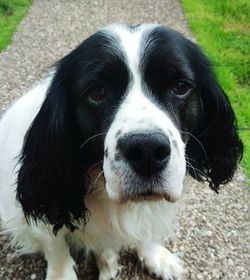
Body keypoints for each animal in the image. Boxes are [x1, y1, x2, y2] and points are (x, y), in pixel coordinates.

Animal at [0, 24, 242, 280]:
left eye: (180, 86)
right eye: (97, 92)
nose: (147, 150)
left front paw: (155, 256)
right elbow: (55, 246)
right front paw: (62, 273)